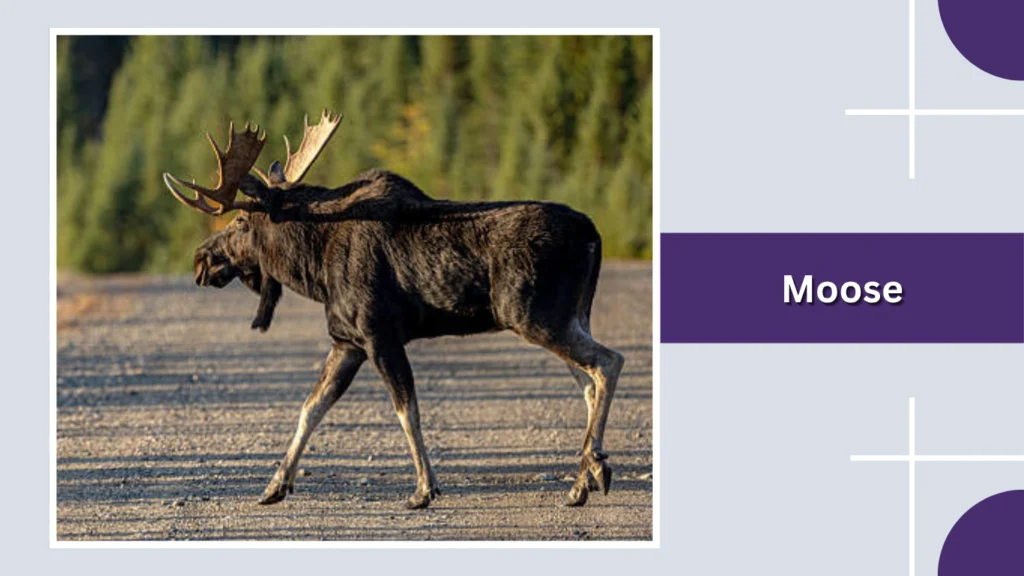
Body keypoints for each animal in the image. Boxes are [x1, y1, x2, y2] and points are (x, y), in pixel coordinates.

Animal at [162, 110, 625, 510]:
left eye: (241, 223)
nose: (201, 260)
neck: (312, 268)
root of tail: (595, 234)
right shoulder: (346, 341)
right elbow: (310, 407)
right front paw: (275, 485)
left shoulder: (378, 335)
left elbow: (406, 410)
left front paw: (424, 489)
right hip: (570, 316)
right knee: (587, 384)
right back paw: (582, 480)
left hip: (536, 316)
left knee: (608, 362)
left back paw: (595, 467)